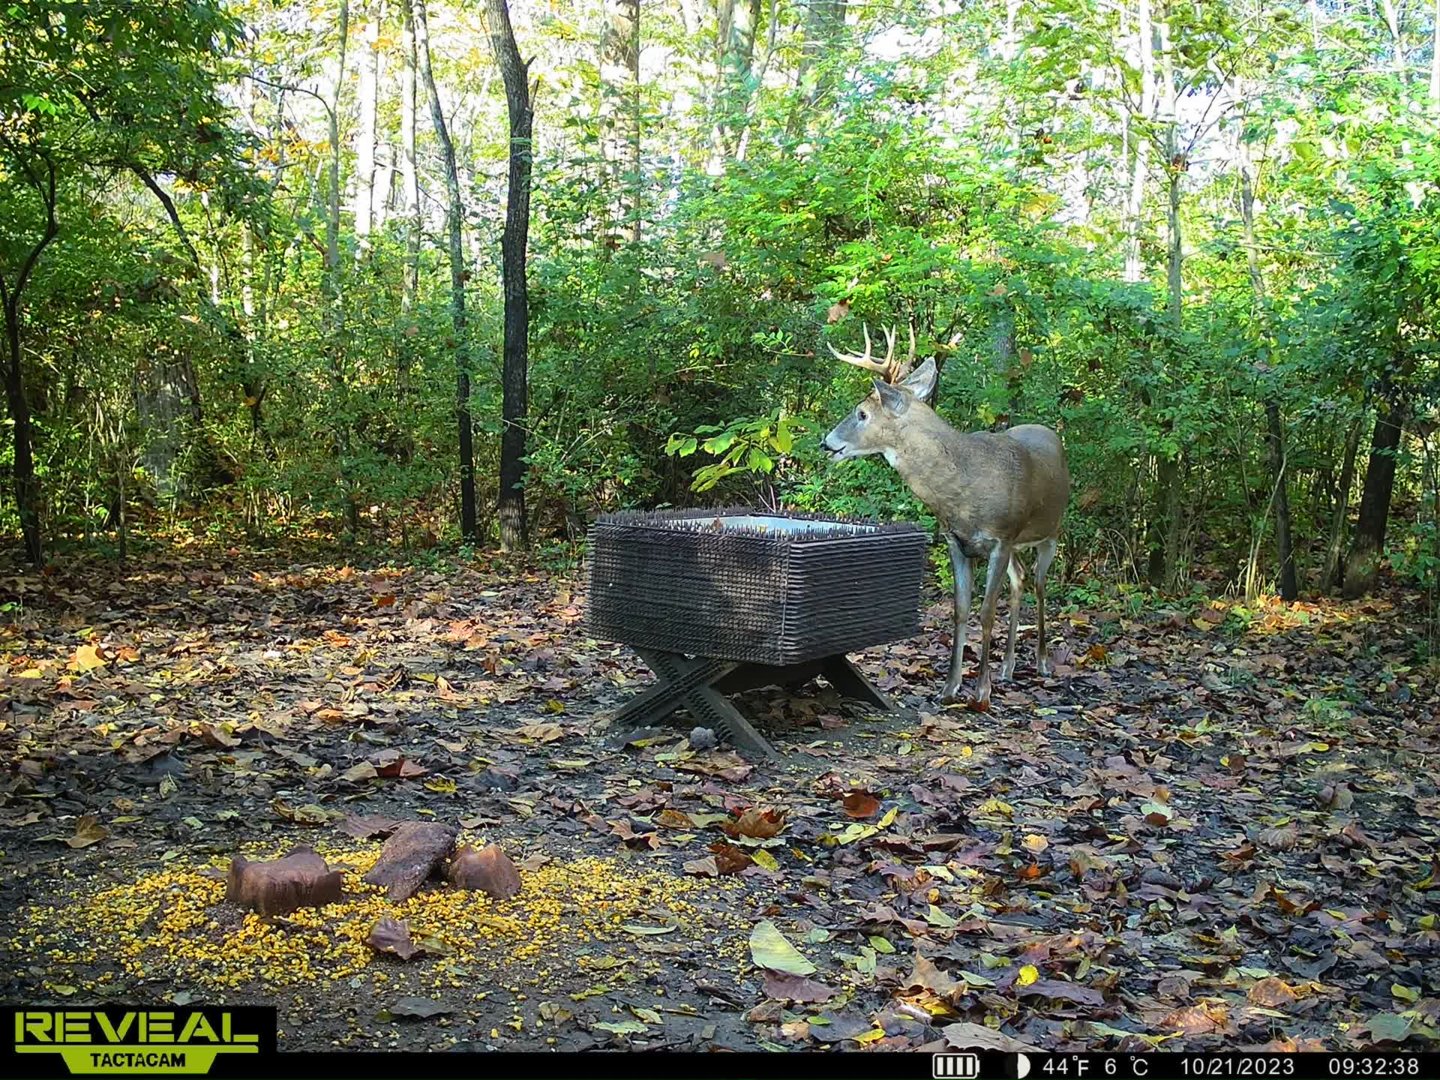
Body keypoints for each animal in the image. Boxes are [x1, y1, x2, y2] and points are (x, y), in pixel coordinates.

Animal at [823, 321, 1071, 711]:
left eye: (862, 413)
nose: (826, 443)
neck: (964, 487)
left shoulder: (1001, 538)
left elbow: (986, 611)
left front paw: (981, 692)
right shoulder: (957, 540)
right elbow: (960, 609)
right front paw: (950, 687)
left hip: (1050, 531)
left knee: (1040, 583)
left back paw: (1042, 662)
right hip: (1017, 546)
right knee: (1020, 579)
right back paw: (1008, 667)